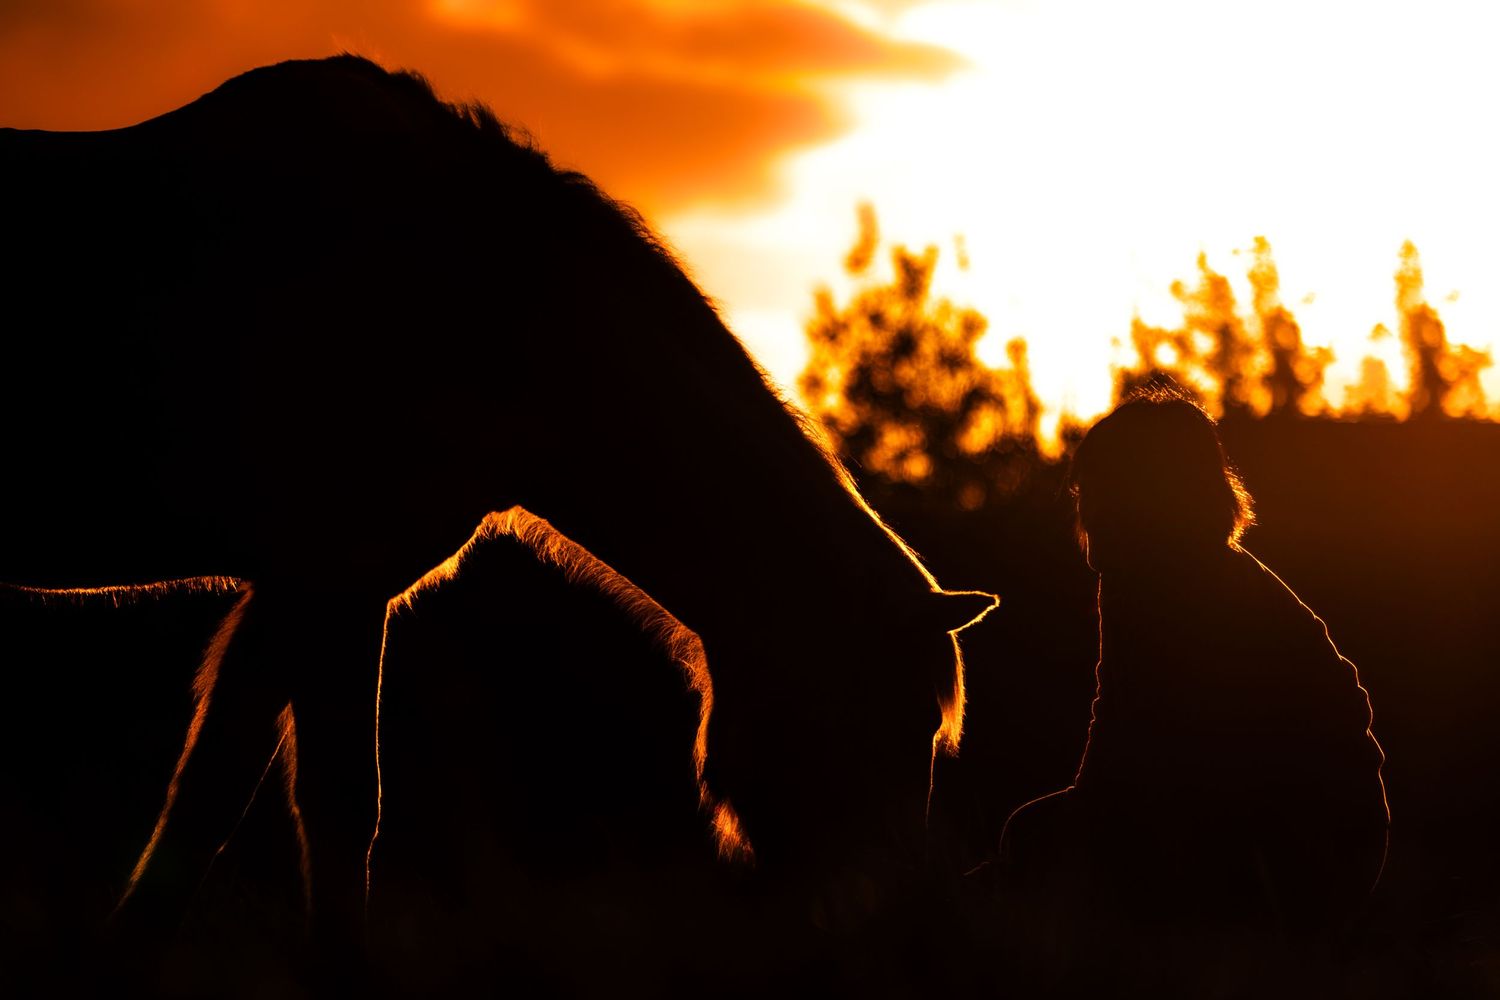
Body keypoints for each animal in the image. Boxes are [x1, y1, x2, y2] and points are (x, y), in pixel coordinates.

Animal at [0, 54, 996, 962]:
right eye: (889, 720)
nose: (888, 922)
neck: (481, 307)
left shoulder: (311, 589)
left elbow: (244, 799)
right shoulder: (325, 580)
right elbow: (309, 809)